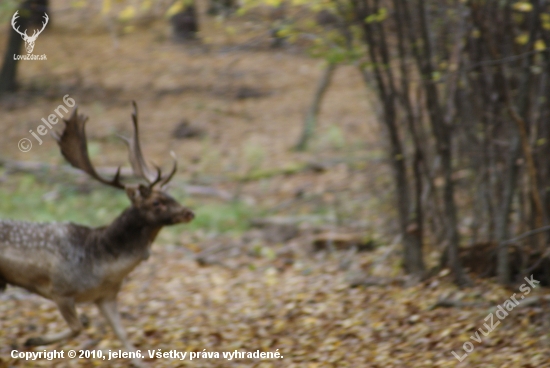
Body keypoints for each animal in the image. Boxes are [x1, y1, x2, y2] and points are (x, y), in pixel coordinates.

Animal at [0, 102, 194, 364]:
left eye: (170, 195)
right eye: (156, 202)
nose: (189, 212)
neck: (101, 265)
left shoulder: (106, 296)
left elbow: (123, 336)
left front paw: (140, 362)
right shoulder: (60, 289)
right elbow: (78, 327)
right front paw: (34, 340)